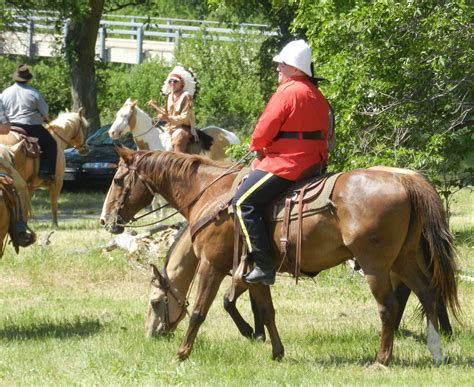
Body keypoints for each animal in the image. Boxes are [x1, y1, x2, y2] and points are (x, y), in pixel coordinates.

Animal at [101, 146, 460, 366]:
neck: (211, 194)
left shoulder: (213, 266)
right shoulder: (256, 271)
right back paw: (436, 352)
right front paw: (275, 351)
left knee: (389, 307)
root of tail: (404, 179)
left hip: (376, 266)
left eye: (118, 180)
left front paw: (183, 353)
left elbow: (201, 311)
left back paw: (382, 360)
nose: (105, 220)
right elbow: (267, 311)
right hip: (405, 259)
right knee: (427, 293)